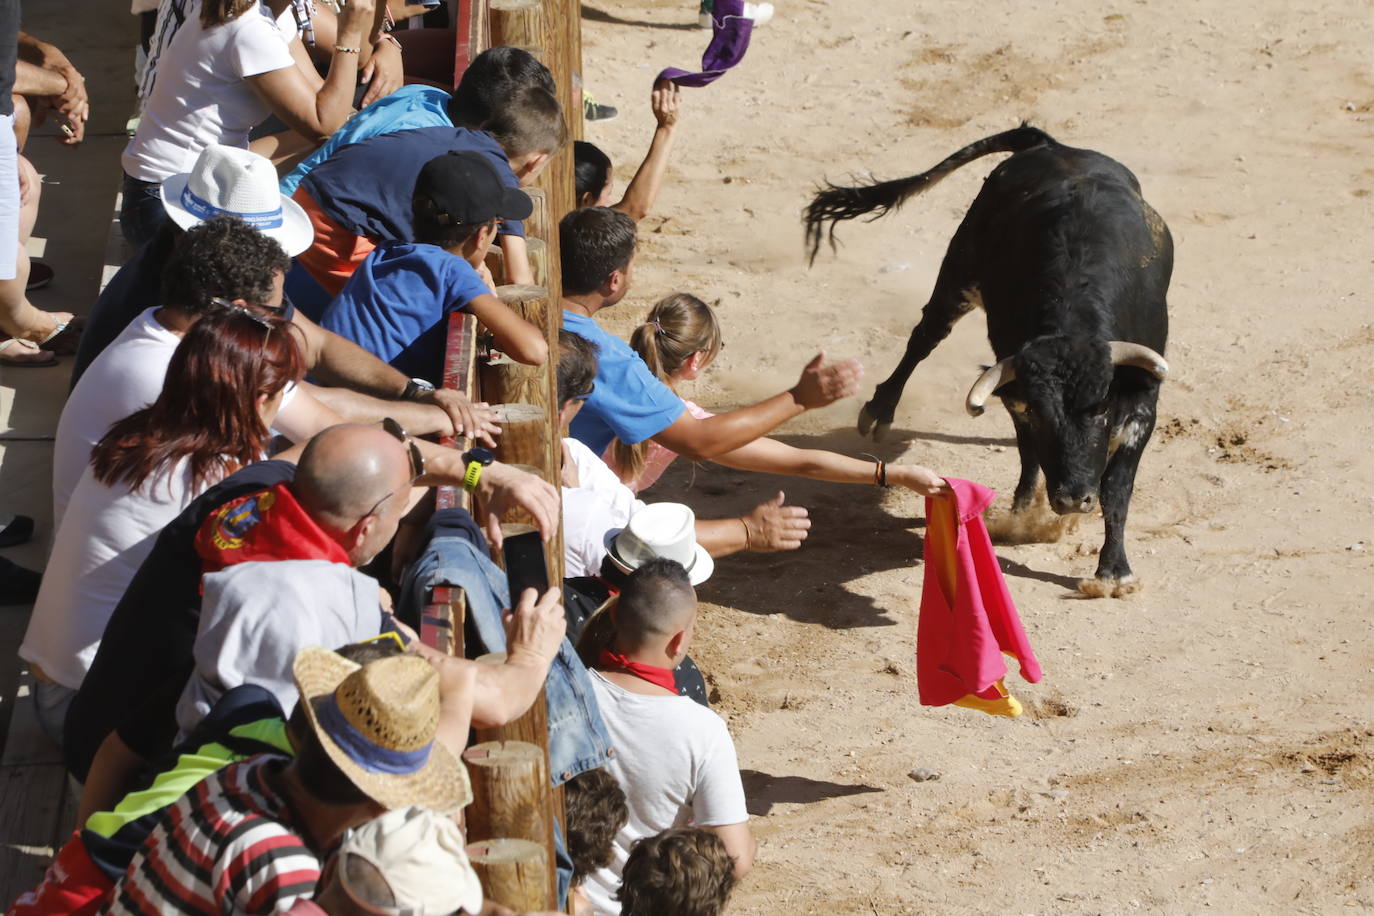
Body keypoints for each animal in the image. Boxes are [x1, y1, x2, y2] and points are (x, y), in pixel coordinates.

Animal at [802, 130, 1170, 601]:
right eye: (1041, 414)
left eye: (1102, 408)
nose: (1071, 499)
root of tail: (1051, 144)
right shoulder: (1017, 395)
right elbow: (1031, 454)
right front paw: (1021, 516)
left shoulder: (1142, 406)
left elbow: (1117, 489)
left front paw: (1113, 572)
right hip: (960, 268)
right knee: (925, 336)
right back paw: (880, 410)